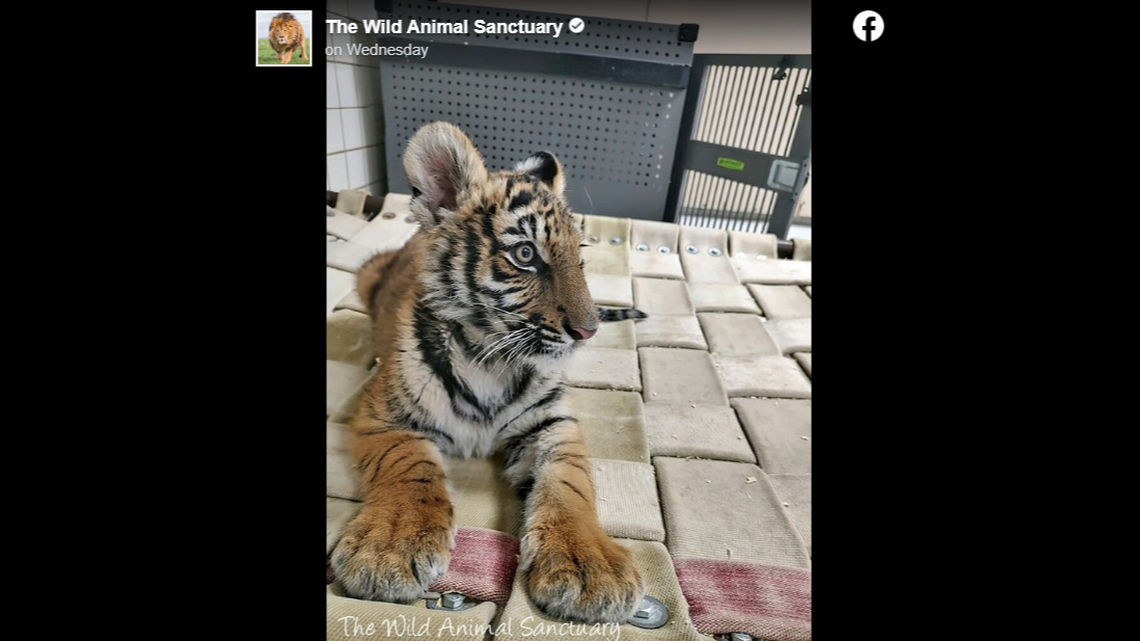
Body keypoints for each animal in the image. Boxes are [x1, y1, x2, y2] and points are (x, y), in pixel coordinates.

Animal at [331, 121, 648, 623]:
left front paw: (590, 566)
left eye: (579, 258)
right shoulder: (384, 415)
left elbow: (570, 481)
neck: (489, 357)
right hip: (366, 274)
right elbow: (407, 467)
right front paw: (388, 548)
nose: (589, 330)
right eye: (525, 254)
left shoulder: (552, 422)